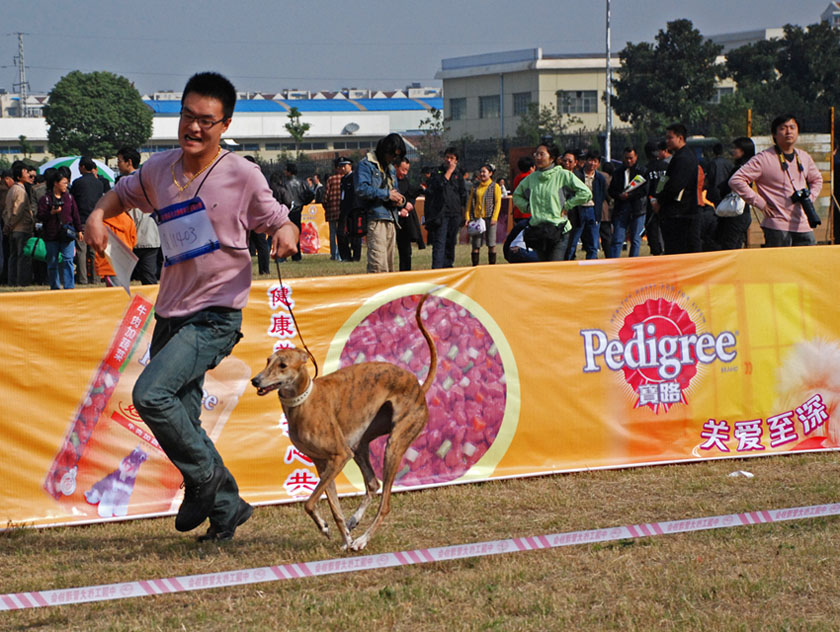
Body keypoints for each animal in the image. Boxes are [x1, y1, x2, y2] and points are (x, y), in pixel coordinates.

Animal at [251, 294, 436, 552]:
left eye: (283, 365)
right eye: (268, 360)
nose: (255, 381)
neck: (305, 401)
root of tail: (419, 386)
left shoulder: (339, 456)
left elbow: (309, 503)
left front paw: (330, 531)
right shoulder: (322, 462)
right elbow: (333, 508)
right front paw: (342, 535)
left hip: (393, 445)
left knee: (385, 503)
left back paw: (362, 540)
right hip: (359, 445)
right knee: (372, 484)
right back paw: (354, 523)